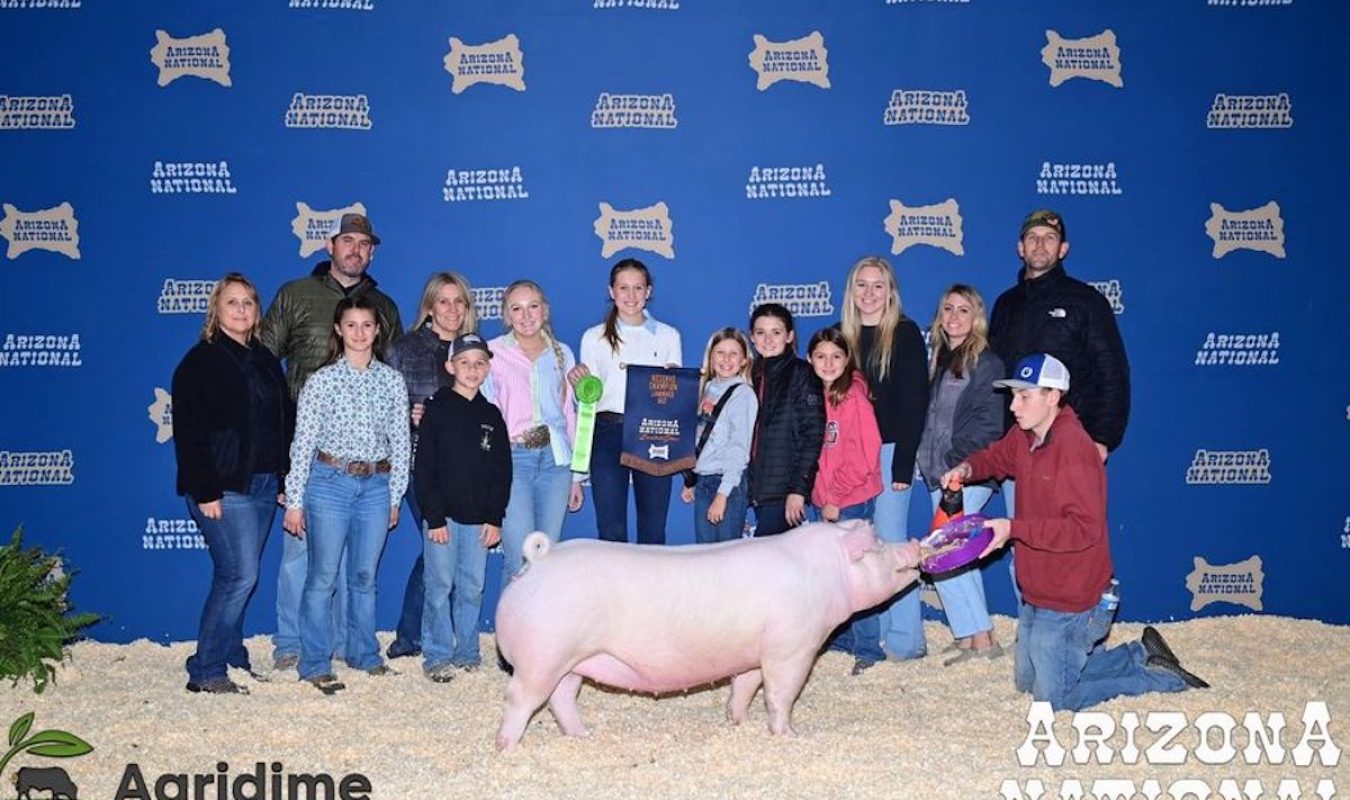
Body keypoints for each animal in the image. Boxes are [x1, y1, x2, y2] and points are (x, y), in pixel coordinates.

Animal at [491, 518, 923, 750]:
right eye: (878, 548)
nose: (915, 544)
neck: (826, 570)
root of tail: (538, 560)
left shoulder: (755, 652)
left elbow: (745, 686)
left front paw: (735, 721)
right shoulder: (793, 647)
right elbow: (781, 693)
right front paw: (789, 734)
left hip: (572, 661)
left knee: (561, 697)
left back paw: (583, 735)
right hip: (542, 657)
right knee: (519, 698)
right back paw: (506, 747)